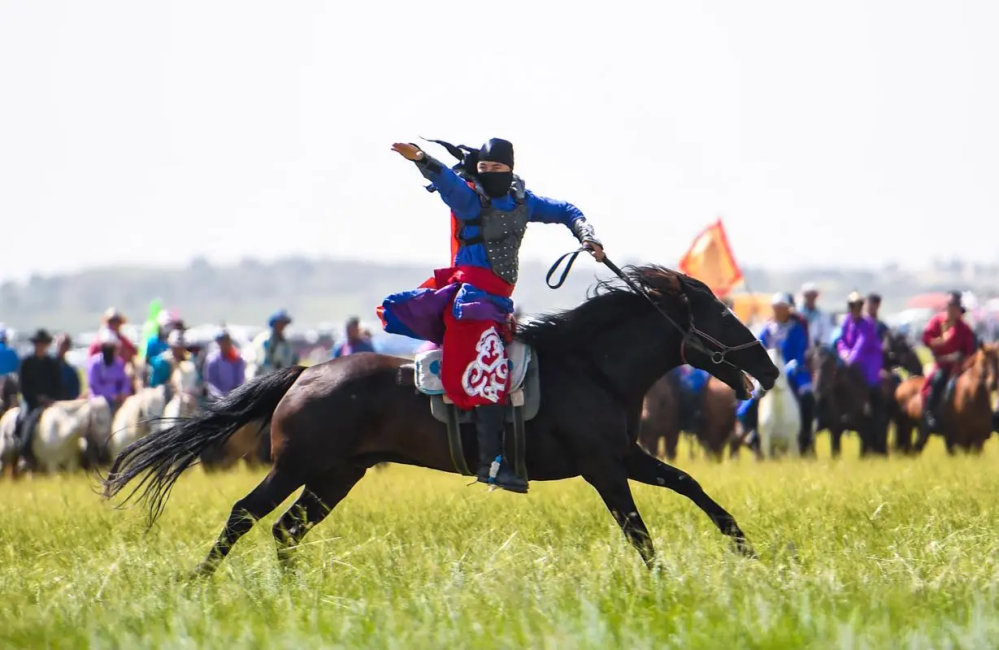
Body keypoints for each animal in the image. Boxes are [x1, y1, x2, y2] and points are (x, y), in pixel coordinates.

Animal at [107, 266, 780, 576]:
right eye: (723, 313)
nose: (770, 369)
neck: (592, 367)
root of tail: (304, 373)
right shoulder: (603, 467)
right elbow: (637, 530)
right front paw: (664, 579)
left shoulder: (626, 455)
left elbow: (690, 485)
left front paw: (745, 548)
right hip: (297, 465)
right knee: (246, 513)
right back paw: (197, 581)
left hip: (336, 475)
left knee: (285, 530)